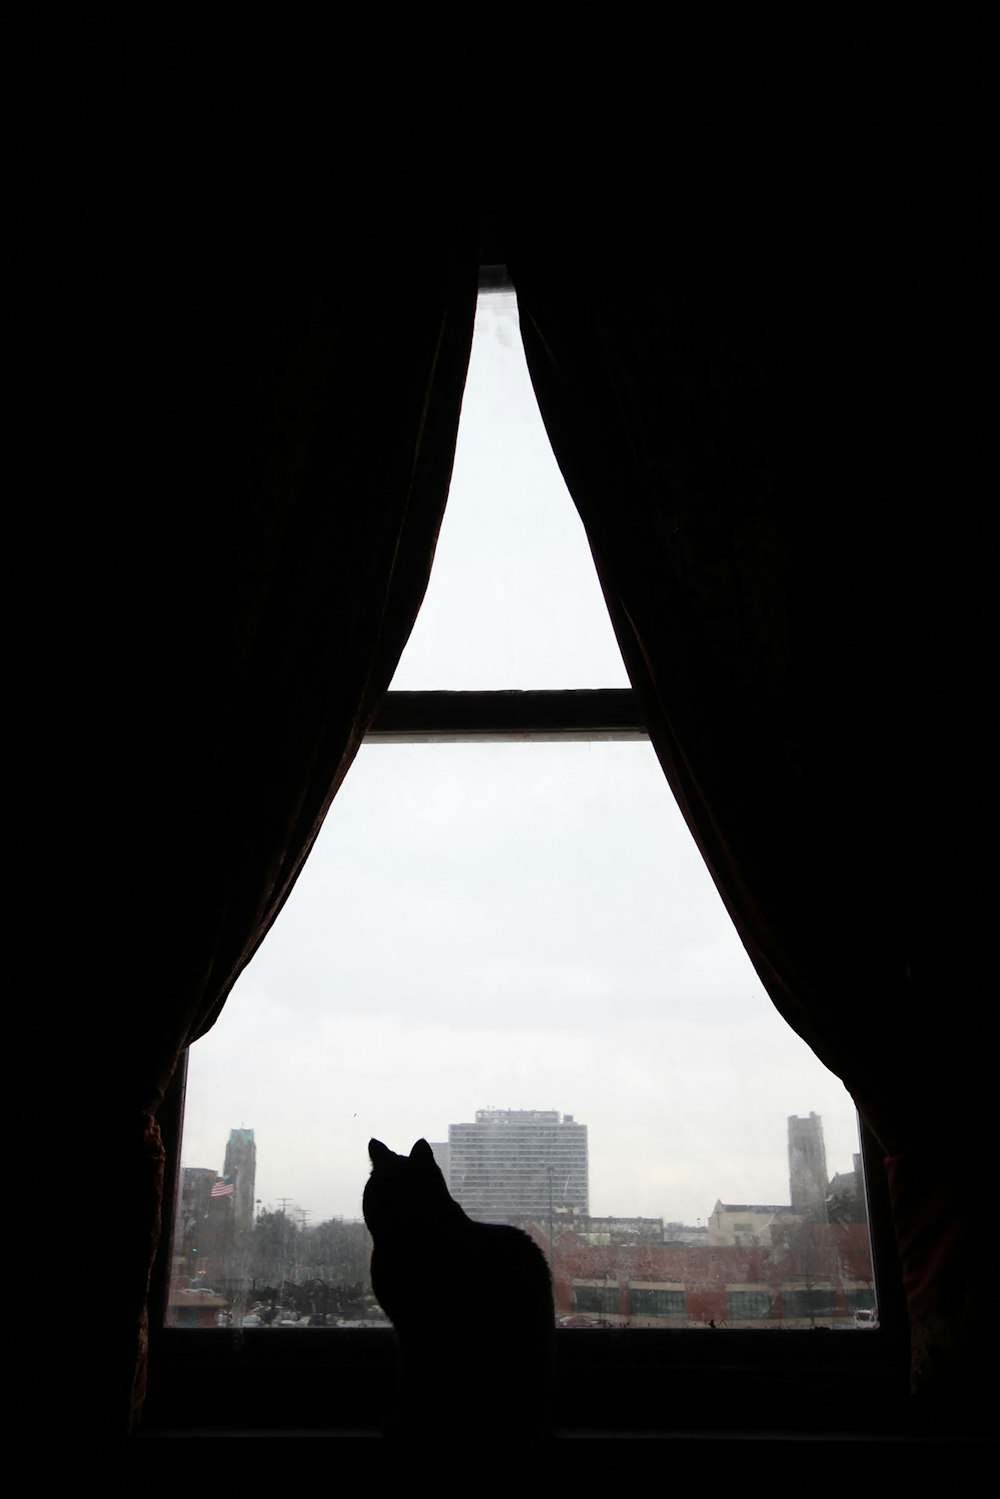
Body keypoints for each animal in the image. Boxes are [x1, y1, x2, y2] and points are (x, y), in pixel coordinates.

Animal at [364, 1139, 560, 1445]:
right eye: (375, 1190)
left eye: (405, 1191)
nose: (384, 1208)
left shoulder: (414, 1329)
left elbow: (411, 1379)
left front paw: (404, 1422)